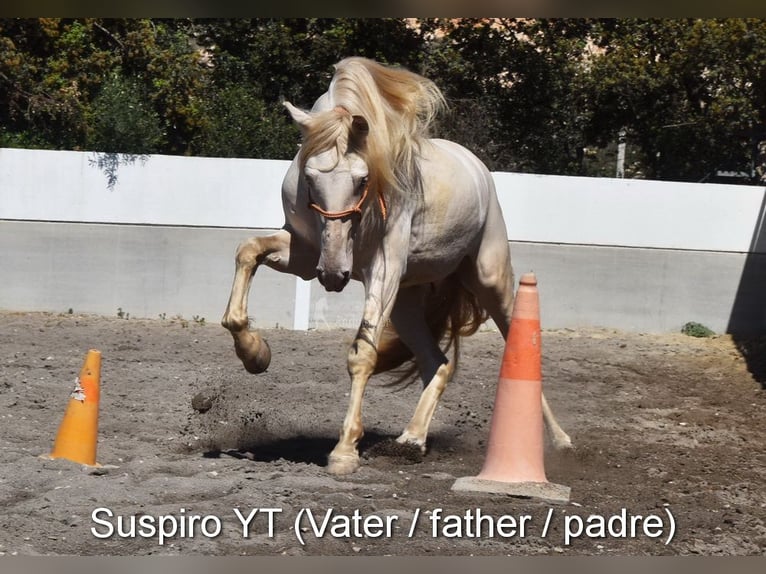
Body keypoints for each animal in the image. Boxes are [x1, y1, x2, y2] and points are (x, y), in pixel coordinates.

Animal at [221, 57, 571, 475]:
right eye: (309, 178)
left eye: (362, 180)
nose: (334, 274)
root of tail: (477, 169)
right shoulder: (306, 253)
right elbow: (247, 253)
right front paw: (255, 353)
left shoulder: (381, 269)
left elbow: (363, 353)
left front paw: (344, 451)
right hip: (405, 303)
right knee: (438, 363)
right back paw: (411, 439)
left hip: (490, 279)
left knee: (513, 340)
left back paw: (559, 440)